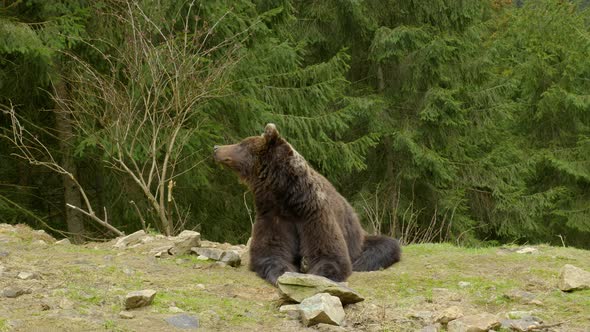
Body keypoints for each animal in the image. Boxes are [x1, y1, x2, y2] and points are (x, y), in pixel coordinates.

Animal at [213, 123, 402, 284]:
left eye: (241, 144)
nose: (216, 148)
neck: (286, 198)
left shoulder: (313, 213)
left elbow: (330, 255)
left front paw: (317, 274)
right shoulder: (273, 214)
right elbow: (271, 251)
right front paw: (283, 272)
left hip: (356, 237)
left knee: (385, 245)